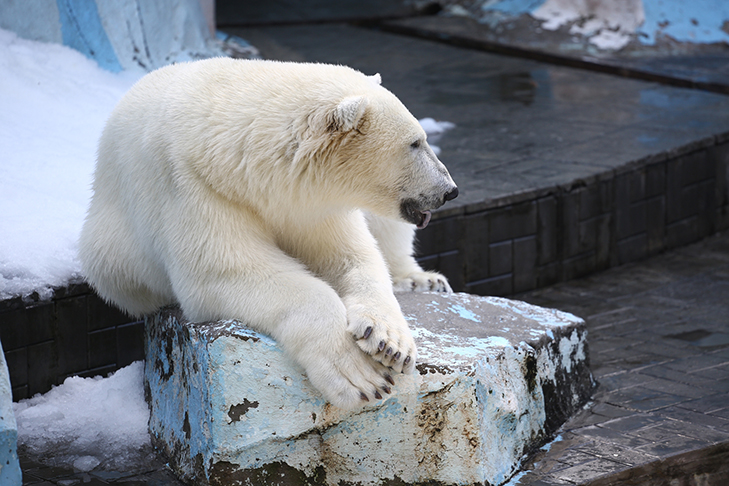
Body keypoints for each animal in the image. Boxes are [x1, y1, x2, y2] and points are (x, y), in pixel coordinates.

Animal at [78, 58, 456, 410]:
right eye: (415, 143)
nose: (449, 189)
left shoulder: (313, 206)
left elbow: (353, 257)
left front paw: (389, 341)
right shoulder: (194, 189)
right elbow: (228, 272)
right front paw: (361, 376)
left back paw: (422, 279)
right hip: (112, 254)